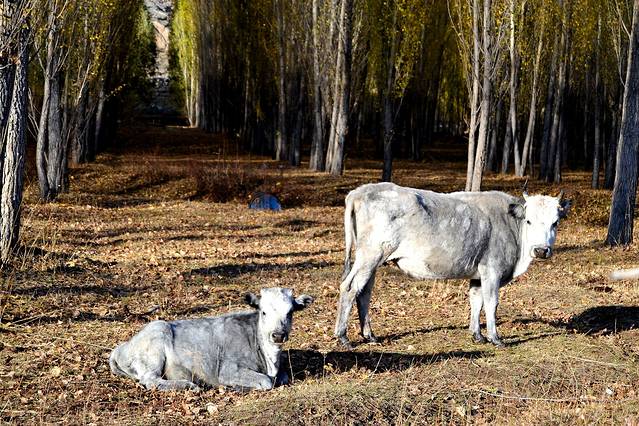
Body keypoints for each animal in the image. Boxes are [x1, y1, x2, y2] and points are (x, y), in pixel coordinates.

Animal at [109, 287, 314, 391]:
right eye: (263, 312)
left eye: (290, 312)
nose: (278, 334)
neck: (270, 361)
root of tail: (122, 347)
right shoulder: (228, 370)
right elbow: (266, 382)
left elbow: (284, 377)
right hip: (155, 344)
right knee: (150, 380)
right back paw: (188, 386)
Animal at [335, 182, 571, 349]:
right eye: (529, 220)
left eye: (555, 222)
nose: (541, 250)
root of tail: (361, 191)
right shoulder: (492, 270)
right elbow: (491, 303)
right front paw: (495, 338)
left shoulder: (478, 273)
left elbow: (476, 300)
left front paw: (477, 335)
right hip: (370, 255)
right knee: (350, 288)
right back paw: (343, 336)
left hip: (372, 260)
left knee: (364, 293)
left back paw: (369, 335)